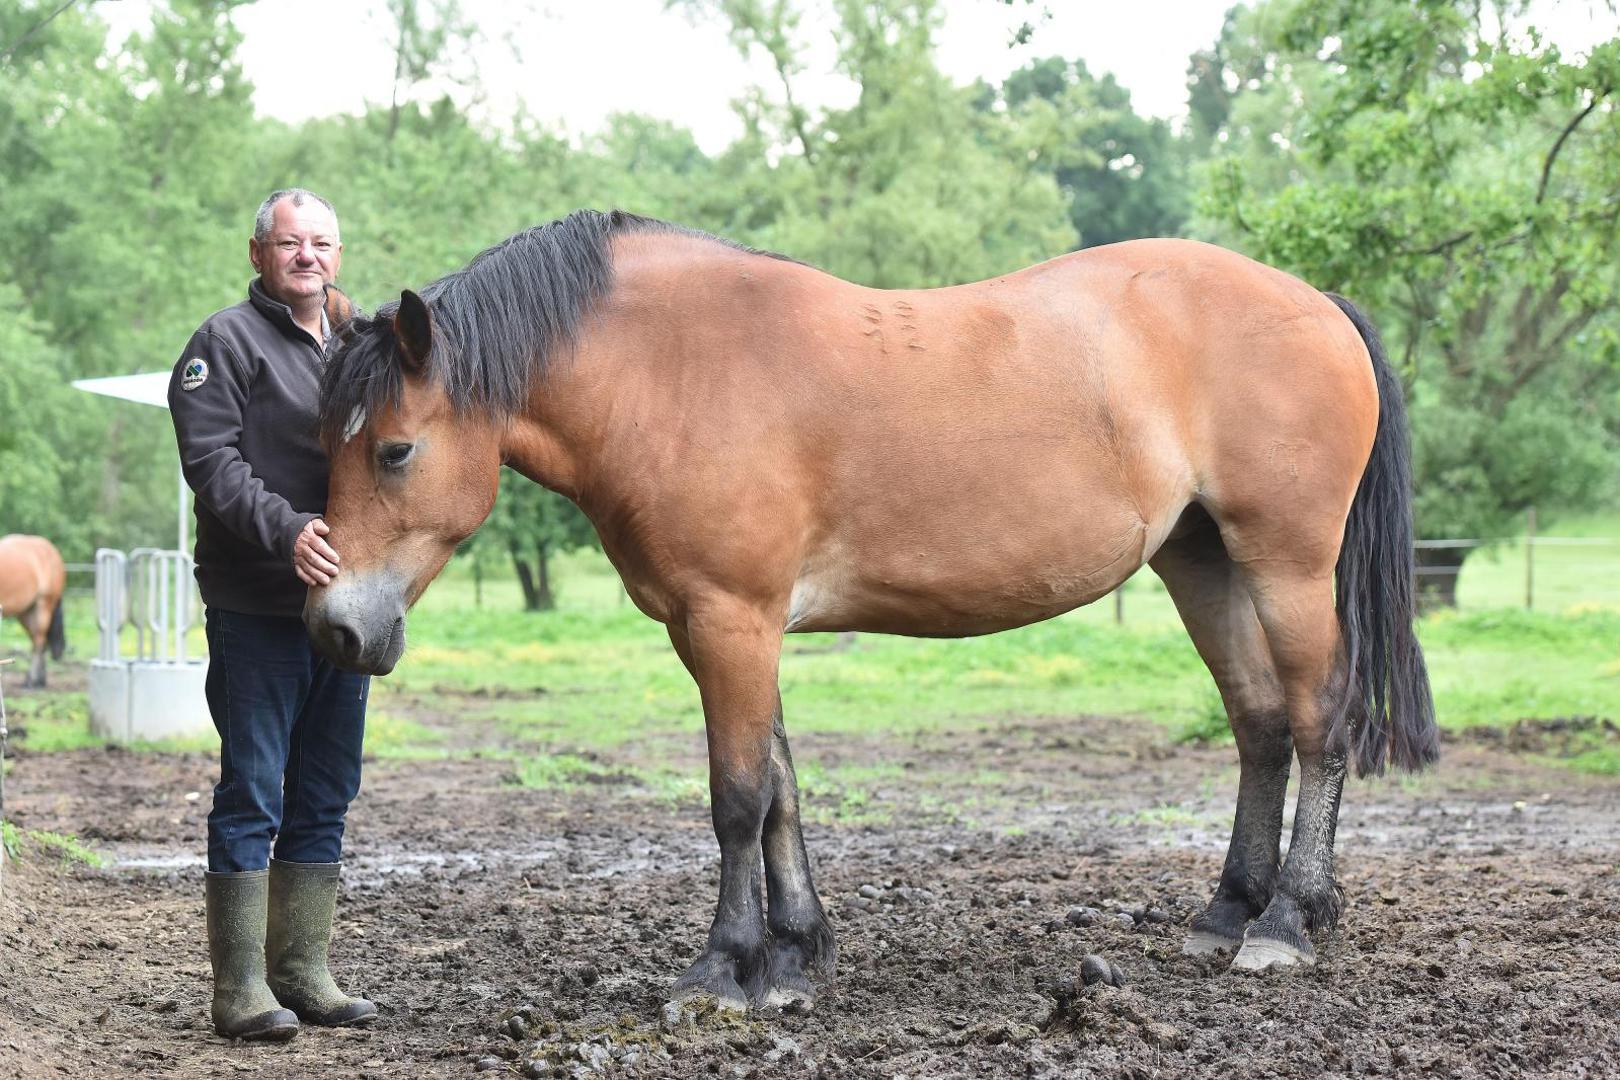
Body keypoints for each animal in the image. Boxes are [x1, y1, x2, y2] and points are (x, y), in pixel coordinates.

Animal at [0, 534, 67, 689]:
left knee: (39, 642)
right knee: (37, 641)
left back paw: (33, 681)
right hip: (26, 612)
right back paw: (39, 680)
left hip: (44, 604)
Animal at [306, 213, 1445, 1016]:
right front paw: (796, 957)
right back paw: (1226, 912)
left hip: (1286, 564)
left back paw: (1287, 922)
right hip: (1201, 563)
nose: (336, 627)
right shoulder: (720, 628)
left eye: (395, 450)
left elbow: (736, 800)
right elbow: (780, 792)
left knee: (1319, 722)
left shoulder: (733, 620)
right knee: (1259, 725)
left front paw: (722, 970)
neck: (674, 371)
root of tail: (1316, 302)